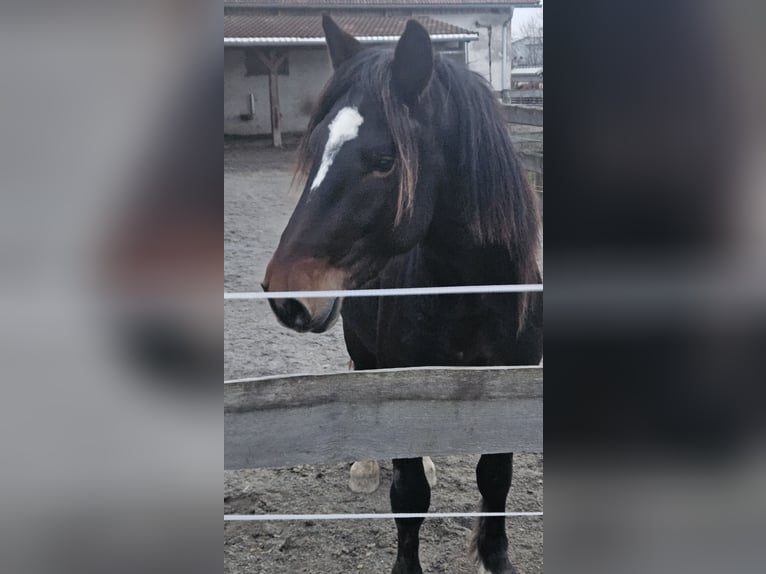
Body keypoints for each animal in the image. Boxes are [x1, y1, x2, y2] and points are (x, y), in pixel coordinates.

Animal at [264, 16, 544, 574]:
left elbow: (496, 480)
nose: (286, 295)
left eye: (384, 160)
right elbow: (409, 494)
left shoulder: (511, 389)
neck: (475, 296)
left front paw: (494, 556)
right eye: (316, 146)